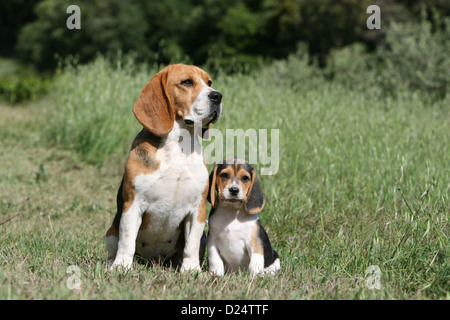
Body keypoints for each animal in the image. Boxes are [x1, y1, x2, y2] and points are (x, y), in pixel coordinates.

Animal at [106, 63, 225, 272]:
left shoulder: (197, 209)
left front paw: (191, 270)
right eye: (187, 82)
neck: (178, 147)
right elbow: (127, 241)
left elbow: (191, 245)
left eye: (209, 82)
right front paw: (121, 267)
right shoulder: (132, 205)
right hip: (110, 233)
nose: (217, 96)